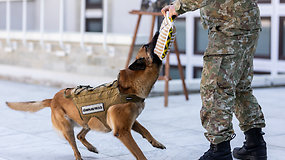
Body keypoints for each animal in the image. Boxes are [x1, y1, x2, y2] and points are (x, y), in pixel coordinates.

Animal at [6, 32, 164, 160]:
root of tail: (52, 99)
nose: (157, 32)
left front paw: (155, 142)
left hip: (88, 120)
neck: (130, 88)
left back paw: (91, 147)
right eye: (147, 45)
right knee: (75, 146)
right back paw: (80, 154)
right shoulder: (122, 131)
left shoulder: (130, 122)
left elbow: (145, 130)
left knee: (80, 135)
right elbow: (139, 153)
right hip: (68, 128)